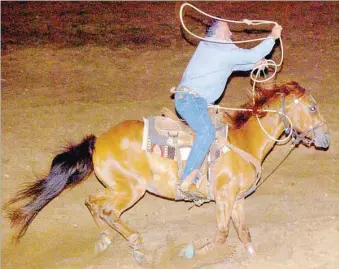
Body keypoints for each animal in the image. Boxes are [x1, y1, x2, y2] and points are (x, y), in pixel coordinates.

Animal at [3, 80, 330, 260]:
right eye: (312, 108)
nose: (326, 139)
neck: (242, 142)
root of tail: (98, 141)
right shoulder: (225, 199)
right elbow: (222, 235)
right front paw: (194, 254)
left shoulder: (236, 200)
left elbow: (244, 233)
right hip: (131, 190)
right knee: (109, 211)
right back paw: (136, 243)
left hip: (117, 188)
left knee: (92, 202)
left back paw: (106, 240)